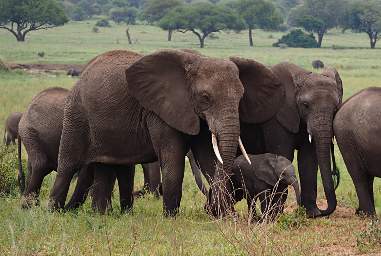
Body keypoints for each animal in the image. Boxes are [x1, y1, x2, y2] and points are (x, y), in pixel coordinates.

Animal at [47, 49, 280, 216]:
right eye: (205, 97)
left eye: (241, 97)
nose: (209, 209)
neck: (197, 59)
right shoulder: (160, 110)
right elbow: (172, 156)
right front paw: (171, 217)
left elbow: (208, 158)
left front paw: (226, 216)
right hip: (76, 114)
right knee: (68, 164)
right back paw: (55, 213)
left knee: (106, 166)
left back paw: (101, 215)